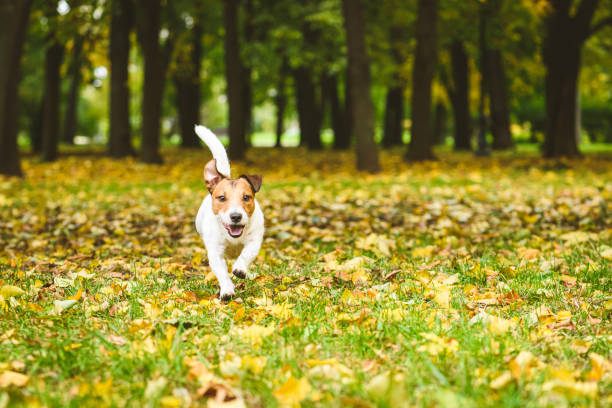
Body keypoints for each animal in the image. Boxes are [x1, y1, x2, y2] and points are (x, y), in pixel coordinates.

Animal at [195, 126, 264, 302]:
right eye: (221, 198)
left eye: (246, 197)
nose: (236, 216)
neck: (233, 237)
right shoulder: (215, 253)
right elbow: (222, 273)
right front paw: (227, 290)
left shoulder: (254, 241)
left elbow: (246, 254)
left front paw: (239, 268)